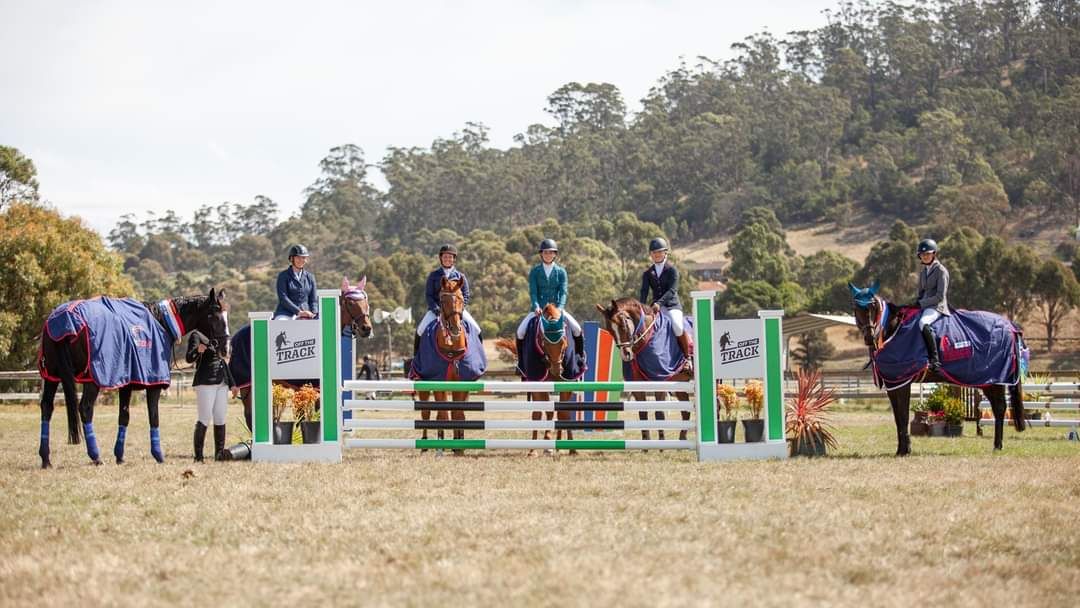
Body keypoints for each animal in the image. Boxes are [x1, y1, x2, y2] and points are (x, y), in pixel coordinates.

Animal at [37, 287, 230, 468]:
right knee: (85, 409)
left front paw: (119, 456)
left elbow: (124, 416)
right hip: (92, 380)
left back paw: (46, 459)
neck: (161, 321)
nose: (225, 349)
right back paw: (96, 457)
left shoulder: (127, 383)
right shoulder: (154, 384)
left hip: (52, 377)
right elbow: (154, 416)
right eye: (213, 315)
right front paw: (158, 455)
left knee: (46, 407)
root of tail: (64, 321)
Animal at [410, 278, 488, 453]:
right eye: (443, 300)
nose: (454, 327)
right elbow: (442, 414)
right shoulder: (438, 382)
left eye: (460, 299)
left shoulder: (462, 383)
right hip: (423, 384)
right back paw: (425, 443)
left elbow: (458, 414)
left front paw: (459, 446)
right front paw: (441, 443)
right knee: (425, 412)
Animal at [494, 302, 583, 457]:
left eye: (564, 342)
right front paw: (543, 446)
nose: (556, 371)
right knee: (540, 413)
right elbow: (544, 412)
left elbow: (564, 413)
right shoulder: (539, 383)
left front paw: (572, 449)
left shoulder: (566, 383)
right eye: (544, 342)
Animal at [591, 300, 691, 442]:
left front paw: (661, 443)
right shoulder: (637, 386)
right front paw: (646, 442)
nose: (626, 355)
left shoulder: (660, 381)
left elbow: (659, 413)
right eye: (610, 330)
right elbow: (642, 413)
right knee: (686, 411)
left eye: (624, 324)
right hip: (680, 383)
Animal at [846, 282, 1023, 453]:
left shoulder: (902, 382)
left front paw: (905, 450)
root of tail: (1009, 325)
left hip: (995, 379)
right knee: (998, 407)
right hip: (987, 381)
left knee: (1000, 408)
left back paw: (998, 446)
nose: (869, 338)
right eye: (856, 309)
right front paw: (901, 449)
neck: (894, 329)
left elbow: (903, 416)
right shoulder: (892, 384)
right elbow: (898, 418)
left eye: (874, 307)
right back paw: (997, 445)